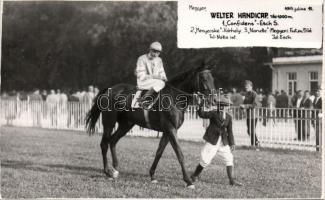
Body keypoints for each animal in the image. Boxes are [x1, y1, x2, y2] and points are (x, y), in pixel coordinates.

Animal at [85, 63, 215, 188]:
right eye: (204, 78)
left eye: (212, 78)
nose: (213, 99)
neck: (174, 98)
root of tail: (110, 89)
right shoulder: (171, 129)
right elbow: (179, 154)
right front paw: (188, 181)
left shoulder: (167, 131)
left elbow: (159, 152)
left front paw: (152, 175)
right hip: (109, 122)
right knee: (104, 144)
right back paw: (108, 171)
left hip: (126, 124)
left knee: (113, 141)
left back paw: (115, 169)